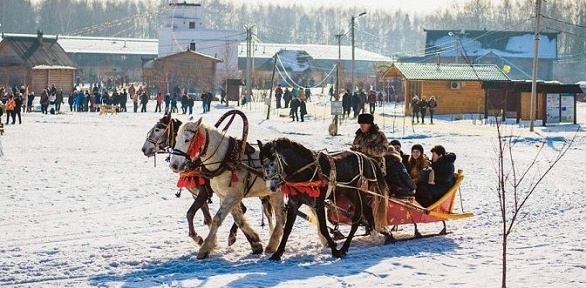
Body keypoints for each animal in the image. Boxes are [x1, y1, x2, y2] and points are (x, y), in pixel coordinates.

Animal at [141, 113, 272, 246]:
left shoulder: (205, 192)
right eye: (176, 138)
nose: (144, 149)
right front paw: (212, 241)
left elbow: (190, 213)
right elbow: (207, 217)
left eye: (157, 129)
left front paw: (198, 238)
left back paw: (233, 236)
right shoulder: (197, 194)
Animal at [168, 112, 284, 258]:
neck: (226, 159)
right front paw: (255, 242)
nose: (174, 165)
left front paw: (205, 247)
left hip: (277, 192)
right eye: (176, 138)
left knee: (281, 217)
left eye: (187, 140)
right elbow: (238, 219)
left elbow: (217, 219)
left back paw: (272, 244)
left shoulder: (233, 195)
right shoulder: (225, 195)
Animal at [258, 138, 390, 260]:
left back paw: (346, 247)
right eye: (261, 163)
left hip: (358, 193)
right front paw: (277, 253)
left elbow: (323, 228)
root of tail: (368, 159)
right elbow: (287, 229)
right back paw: (374, 235)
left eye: (272, 163)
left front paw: (335, 250)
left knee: (358, 218)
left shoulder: (318, 203)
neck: (306, 170)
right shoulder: (293, 203)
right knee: (367, 211)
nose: (271, 187)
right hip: (351, 194)